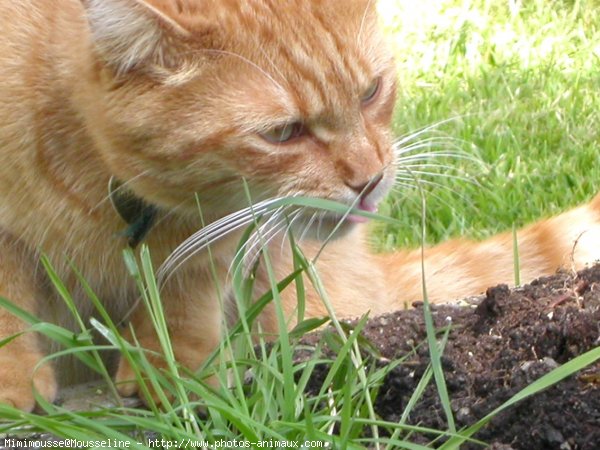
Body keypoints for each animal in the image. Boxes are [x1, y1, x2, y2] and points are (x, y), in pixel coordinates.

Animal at [1, 0, 600, 412]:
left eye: (370, 92)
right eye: (283, 133)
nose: (369, 179)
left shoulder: (214, 236)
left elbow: (184, 301)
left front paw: (176, 371)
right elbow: (9, 307)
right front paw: (12, 382)